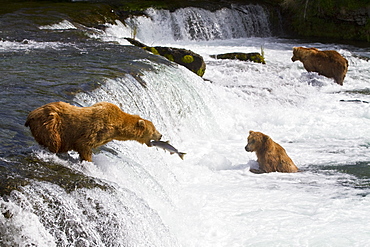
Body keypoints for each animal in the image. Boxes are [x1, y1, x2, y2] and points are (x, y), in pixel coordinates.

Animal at [24, 101, 160, 162]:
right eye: (154, 130)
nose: (160, 135)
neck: (117, 127)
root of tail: (30, 115)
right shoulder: (98, 128)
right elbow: (84, 145)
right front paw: (88, 161)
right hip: (50, 124)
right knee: (54, 141)